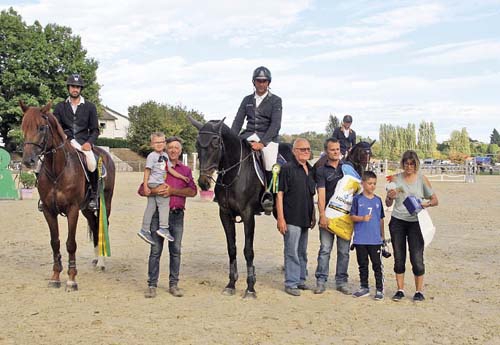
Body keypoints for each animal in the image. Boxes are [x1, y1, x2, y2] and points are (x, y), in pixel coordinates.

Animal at [20, 101, 115, 288]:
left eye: (41, 127)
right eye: (23, 127)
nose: (28, 161)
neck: (57, 170)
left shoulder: (72, 210)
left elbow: (71, 244)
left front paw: (71, 279)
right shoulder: (49, 211)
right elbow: (55, 242)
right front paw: (56, 276)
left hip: (104, 203)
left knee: (102, 226)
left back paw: (101, 262)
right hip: (86, 209)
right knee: (94, 226)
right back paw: (95, 260)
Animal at [190, 117, 292, 296]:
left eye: (215, 144)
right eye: (197, 145)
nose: (203, 182)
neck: (235, 173)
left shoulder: (248, 215)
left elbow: (248, 250)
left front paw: (250, 287)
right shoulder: (225, 214)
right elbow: (232, 248)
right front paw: (231, 284)